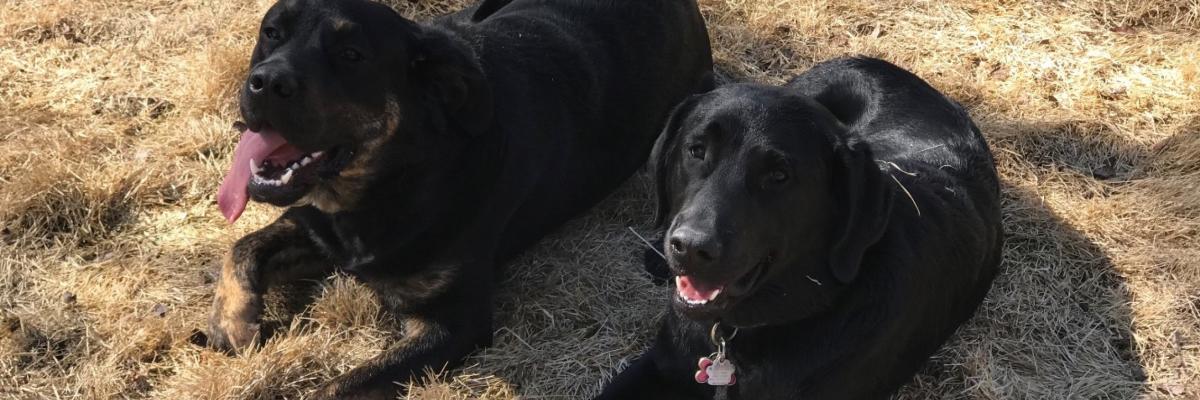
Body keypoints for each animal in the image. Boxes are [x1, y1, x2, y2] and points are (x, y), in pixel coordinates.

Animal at [206, 0, 710, 396]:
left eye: (351, 55)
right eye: (271, 33)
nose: (266, 83)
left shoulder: (452, 323)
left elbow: (337, 387)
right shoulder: (311, 224)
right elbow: (241, 248)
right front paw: (233, 323)